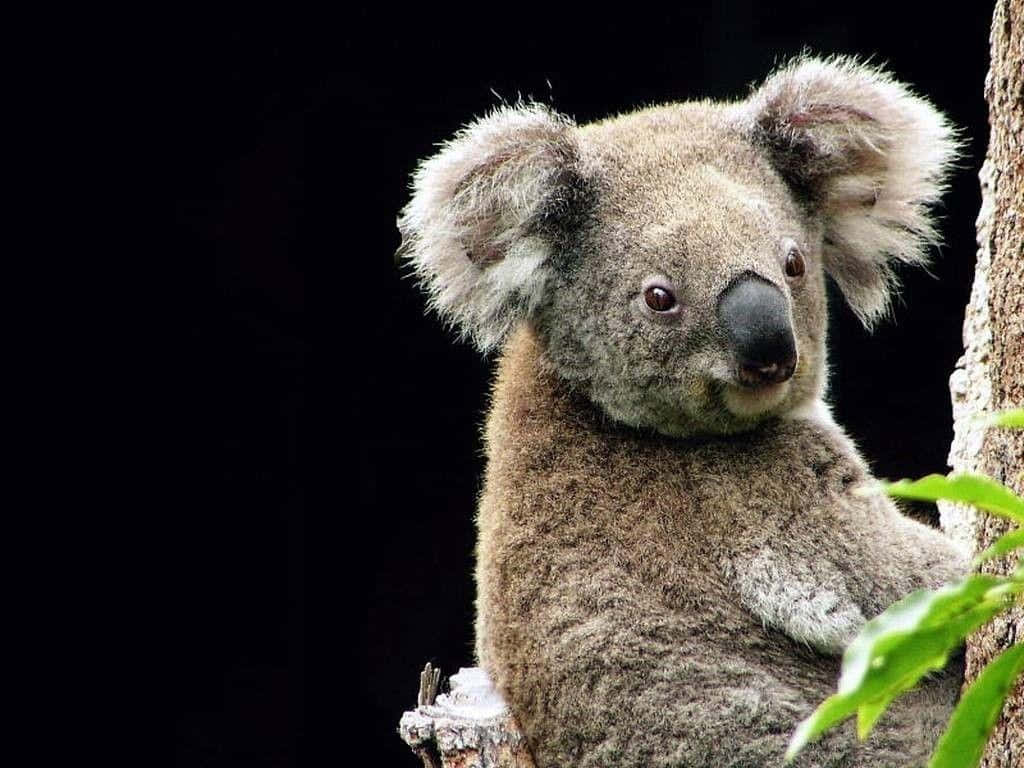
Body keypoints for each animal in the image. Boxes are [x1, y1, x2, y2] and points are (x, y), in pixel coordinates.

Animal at [397, 56, 969, 767]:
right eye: (659, 297)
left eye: (793, 262)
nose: (769, 347)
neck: (600, 408)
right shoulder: (765, 498)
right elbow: (913, 580)